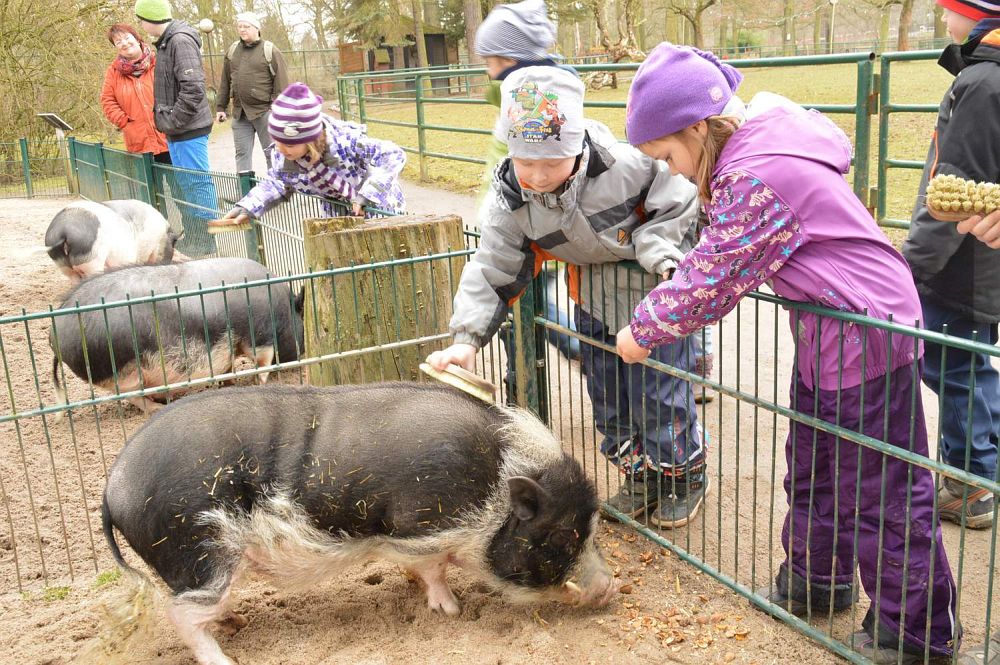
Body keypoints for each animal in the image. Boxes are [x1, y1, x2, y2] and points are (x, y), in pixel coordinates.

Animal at [50, 255, 300, 416]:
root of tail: (55, 334)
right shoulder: (260, 336)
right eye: (301, 314)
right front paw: (259, 382)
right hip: (122, 373)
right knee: (132, 396)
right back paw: (158, 407)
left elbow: (228, 367)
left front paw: (228, 384)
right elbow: (262, 364)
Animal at [103, 382, 616, 664]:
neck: (495, 482)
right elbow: (434, 570)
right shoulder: (421, 527)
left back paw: (235, 622)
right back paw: (225, 657)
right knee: (181, 613)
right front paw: (451, 611)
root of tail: (113, 488)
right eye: (560, 534)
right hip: (200, 551)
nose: (610, 587)